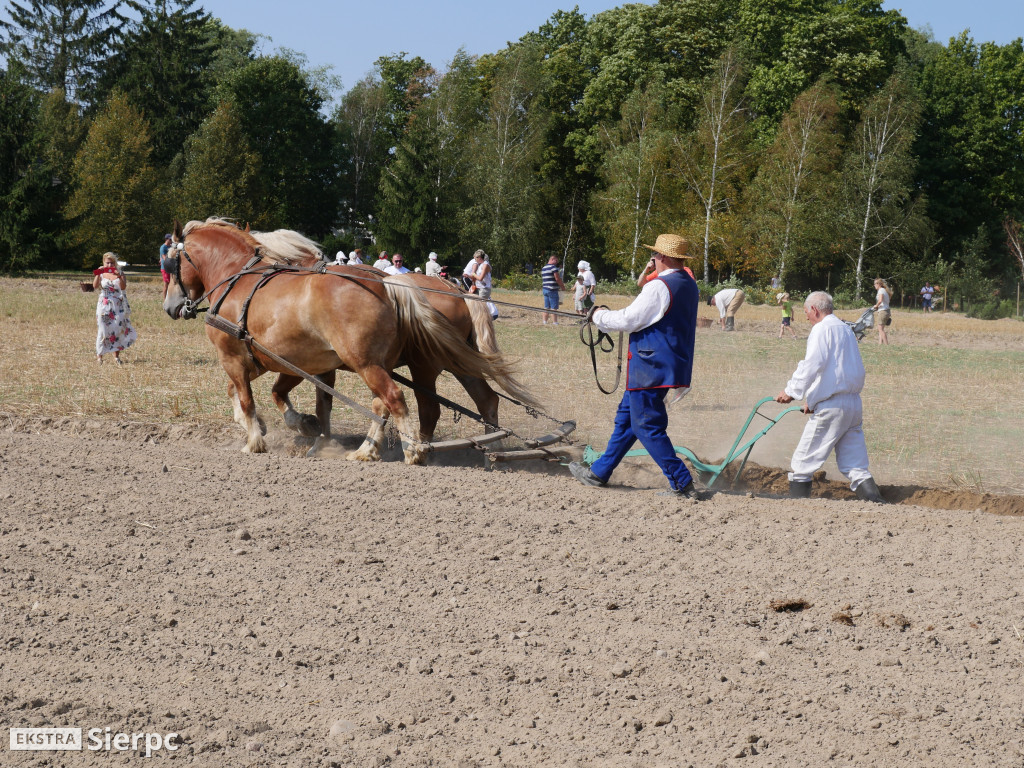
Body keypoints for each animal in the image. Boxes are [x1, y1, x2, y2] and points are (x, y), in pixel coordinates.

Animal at [161, 217, 536, 462]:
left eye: (169, 260)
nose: (170, 307)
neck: (237, 279)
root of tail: (386, 283)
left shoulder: (236, 358)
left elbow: (247, 397)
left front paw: (255, 439)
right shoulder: (292, 364)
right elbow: (302, 402)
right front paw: (307, 432)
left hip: (398, 364)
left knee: (404, 401)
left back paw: (414, 450)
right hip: (444, 360)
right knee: (481, 399)